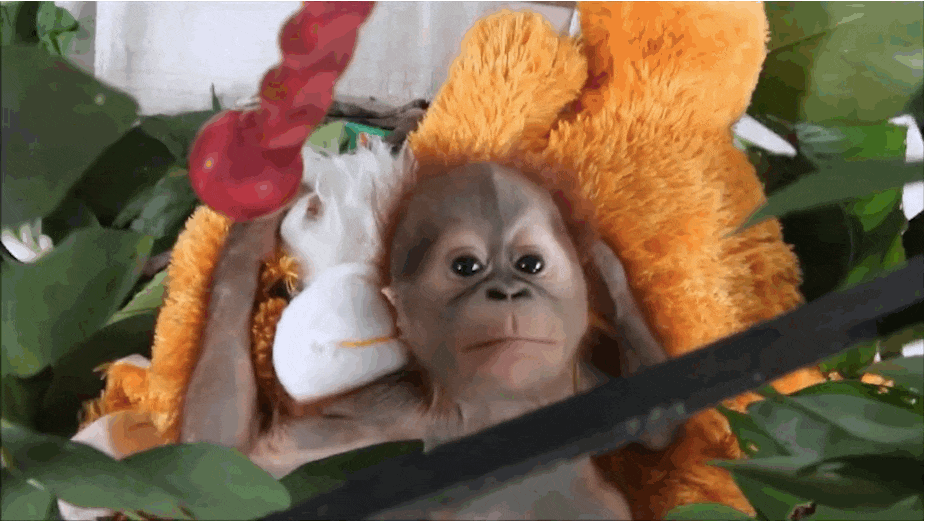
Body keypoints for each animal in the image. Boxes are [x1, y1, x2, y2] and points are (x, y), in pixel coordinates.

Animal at [179, 158, 672, 519]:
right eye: (466, 267)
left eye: (530, 264)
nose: (508, 291)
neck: (506, 412)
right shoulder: (396, 411)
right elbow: (235, 456)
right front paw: (253, 226)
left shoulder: (583, 387)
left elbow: (658, 432)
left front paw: (607, 269)